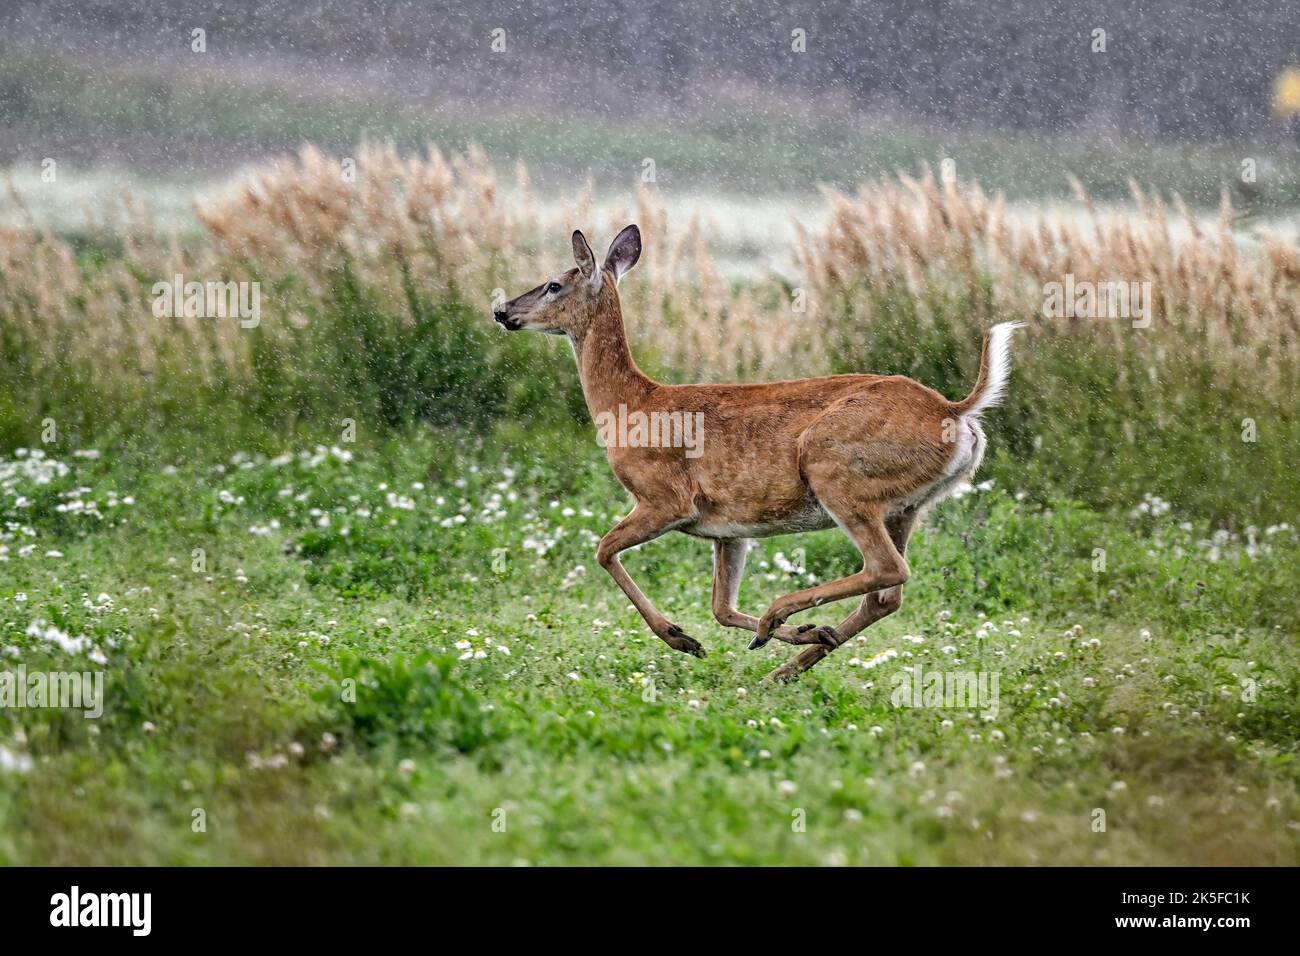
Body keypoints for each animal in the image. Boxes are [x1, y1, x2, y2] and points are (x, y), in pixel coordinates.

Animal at [491, 226, 1019, 681]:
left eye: (554, 284)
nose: (503, 311)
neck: (631, 404)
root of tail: (955, 410)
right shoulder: (729, 528)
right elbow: (721, 608)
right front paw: (791, 634)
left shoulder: (665, 499)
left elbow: (603, 550)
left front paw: (681, 638)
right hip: (906, 506)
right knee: (887, 595)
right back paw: (792, 658)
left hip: (836, 472)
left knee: (886, 568)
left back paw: (778, 618)